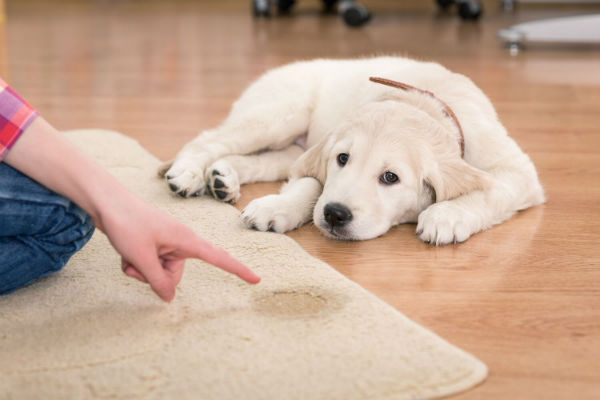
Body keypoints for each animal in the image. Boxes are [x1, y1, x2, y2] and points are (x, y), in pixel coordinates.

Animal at [159, 56, 544, 244]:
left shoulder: (518, 172)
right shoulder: (320, 155)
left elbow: (490, 190)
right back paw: (189, 174)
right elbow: (311, 184)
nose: (335, 215)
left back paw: (223, 177)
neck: (424, 102)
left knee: (261, 161)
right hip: (278, 114)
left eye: (390, 177)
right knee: (209, 139)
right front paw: (278, 207)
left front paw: (446, 216)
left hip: (289, 145)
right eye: (342, 159)